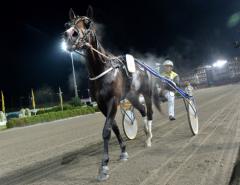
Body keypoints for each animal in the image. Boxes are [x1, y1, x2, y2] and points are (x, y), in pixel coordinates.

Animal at [63, 6, 159, 181]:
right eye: (68, 23)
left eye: (87, 22)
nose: (69, 35)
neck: (102, 70)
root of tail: (143, 65)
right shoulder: (101, 104)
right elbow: (114, 127)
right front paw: (123, 152)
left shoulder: (113, 100)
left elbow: (106, 131)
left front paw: (104, 167)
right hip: (132, 96)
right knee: (142, 110)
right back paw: (146, 133)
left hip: (146, 92)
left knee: (149, 112)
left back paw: (149, 136)